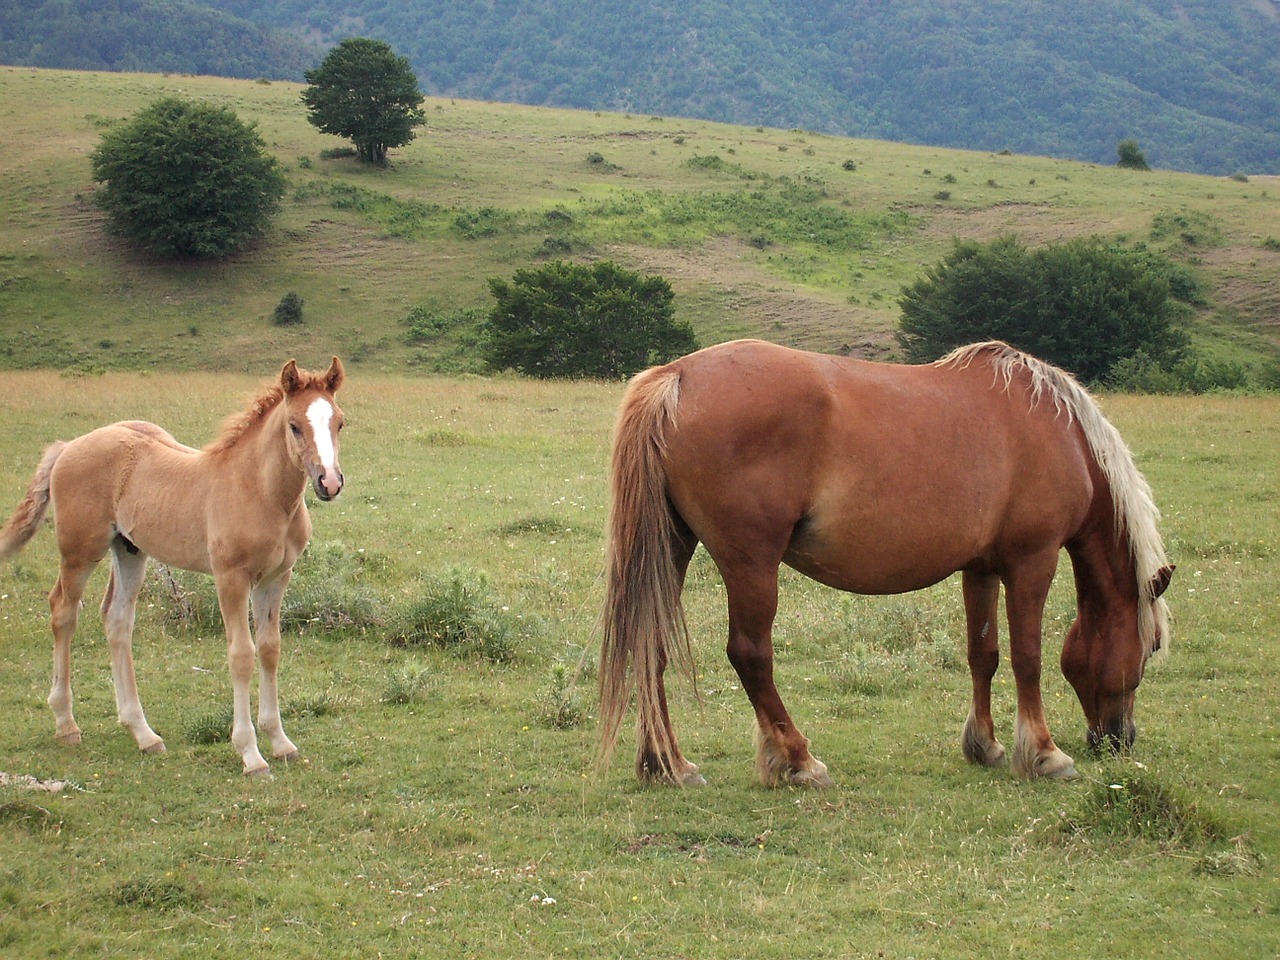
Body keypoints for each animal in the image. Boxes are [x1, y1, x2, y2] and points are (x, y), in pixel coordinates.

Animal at [0, 358, 345, 778]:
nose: (329, 482)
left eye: (339, 423)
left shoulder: (276, 579)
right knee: (63, 611)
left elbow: (269, 649)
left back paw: (143, 733)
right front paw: (250, 754)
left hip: (129, 550)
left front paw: (279, 742)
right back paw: (66, 724)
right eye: (294, 425)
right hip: (80, 551)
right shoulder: (231, 578)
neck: (260, 492)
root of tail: (68, 446)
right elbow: (241, 655)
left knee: (116, 620)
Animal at [599, 340, 1172, 788]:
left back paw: (667, 764)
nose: (1119, 740)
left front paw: (984, 746)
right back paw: (798, 759)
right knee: (750, 655)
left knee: (651, 648)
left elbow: (982, 655)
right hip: (751, 562)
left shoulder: (980, 568)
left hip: (674, 547)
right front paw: (1045, 753)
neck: (1061, 434)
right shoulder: (1032, 562)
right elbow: (1026, 657)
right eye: (1151, 648)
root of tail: (677, 376)